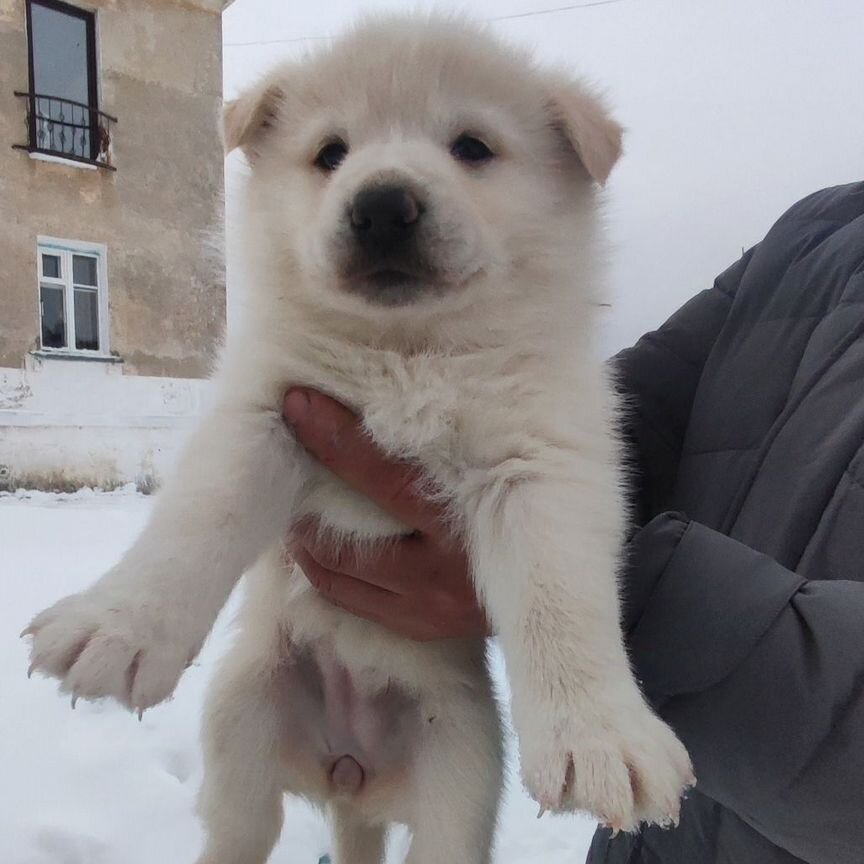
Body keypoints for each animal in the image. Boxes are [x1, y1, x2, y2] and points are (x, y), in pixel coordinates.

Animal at [25, 15, 696, 864]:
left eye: (472, 146)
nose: (381, 205)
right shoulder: (270, 413)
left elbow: (561, 600)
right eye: (330, 153)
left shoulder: (541, 464)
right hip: (243, 738)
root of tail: (349, 770)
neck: (404, 353)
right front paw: (116, 626)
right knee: (240, 832)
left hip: (460, 774)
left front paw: (602, 739)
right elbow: (196, 525)